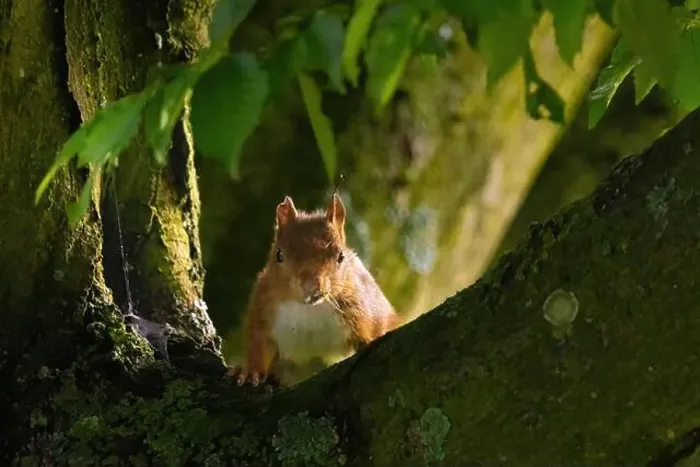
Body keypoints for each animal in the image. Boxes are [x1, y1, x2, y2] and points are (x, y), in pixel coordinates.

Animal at [228, 193, 400, 387]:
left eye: (341, 256)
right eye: (279, 255)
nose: (311, 287)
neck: (309, 310)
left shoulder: (361, 307)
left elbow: (371, 328)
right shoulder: (262, 306)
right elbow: (257, 343)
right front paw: (250, 372)